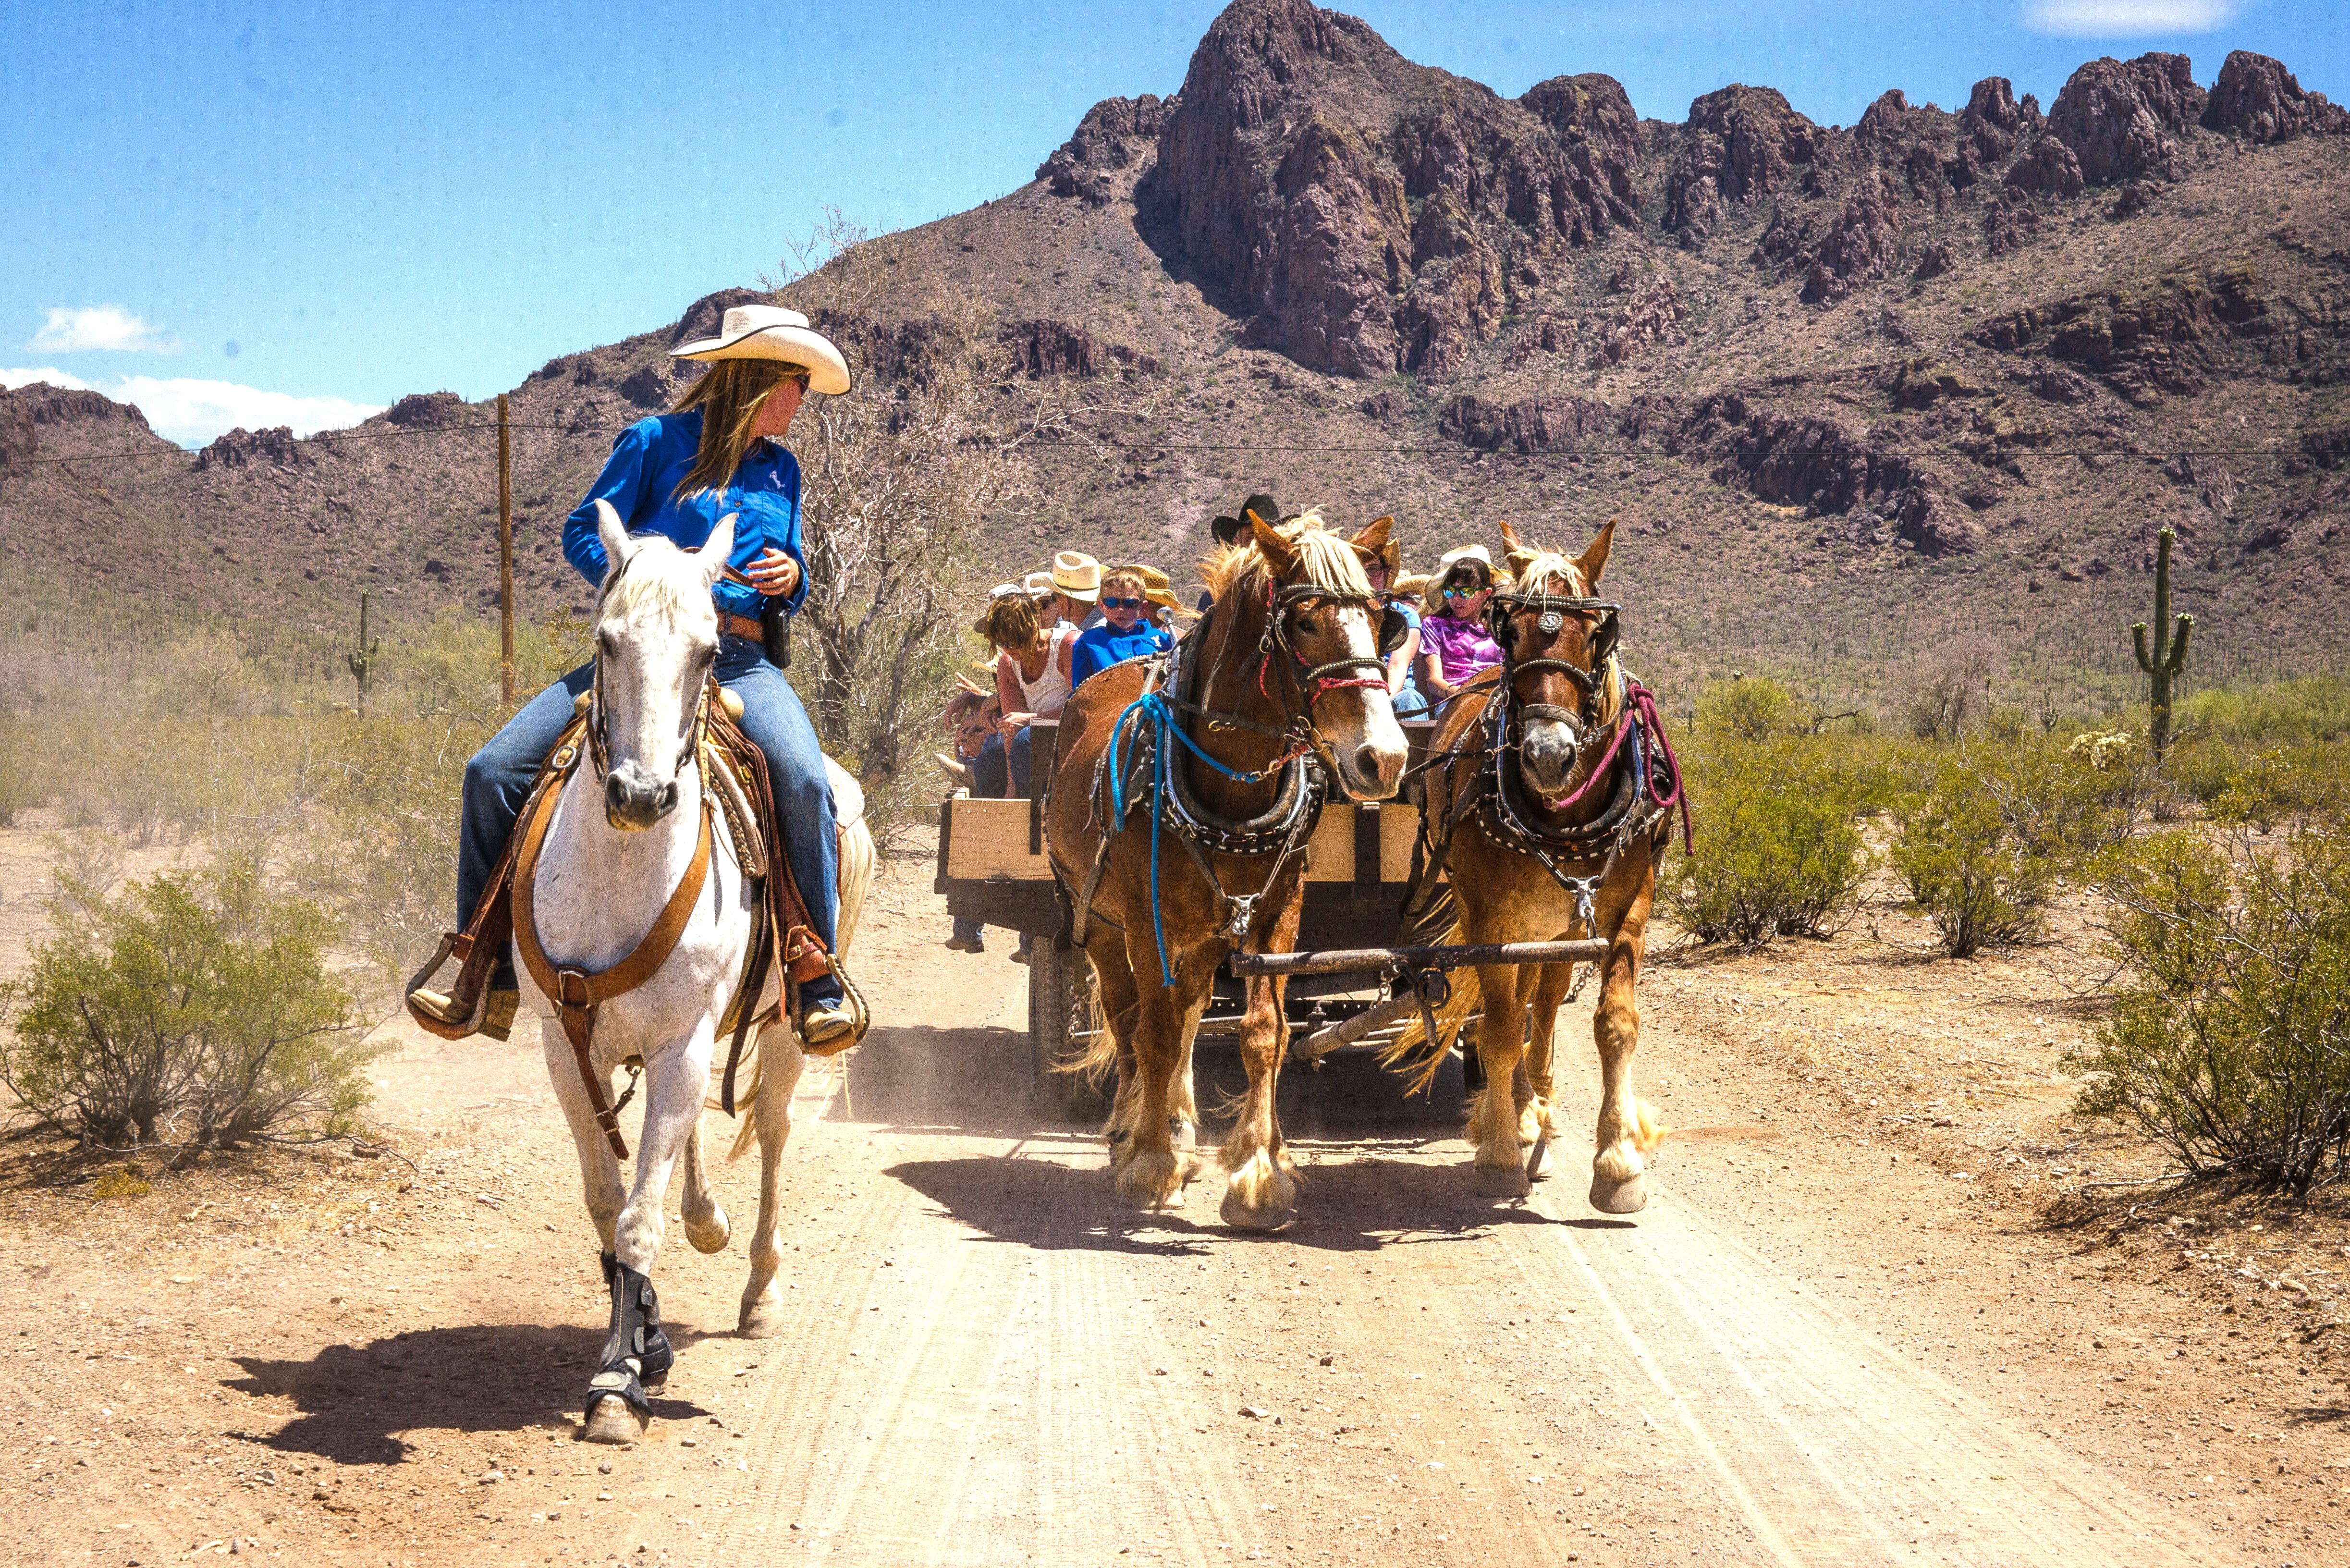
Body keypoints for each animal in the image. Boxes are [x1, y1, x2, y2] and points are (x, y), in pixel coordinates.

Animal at [516, 499, 876, 1443]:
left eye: (711, 652)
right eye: (606, 641)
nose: (642, 796)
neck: (621, 873)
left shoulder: (681, 1041)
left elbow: (639, 1220)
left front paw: (616, 1384)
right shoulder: (566, 1044)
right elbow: (609, 1202)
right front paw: (642, 1341)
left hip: (783, 1029)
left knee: (775, 1132)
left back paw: (759, 1289)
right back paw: (706, 1222)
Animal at [1046, 512, 1410, 1228]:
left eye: (1379, 619)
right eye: (1304, 622)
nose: (1382, 758)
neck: (1230, 791)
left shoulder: (1276, 918)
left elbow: (1263, 1034)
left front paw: (1258, 1170)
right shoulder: (1146, 922)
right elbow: (1154, 1033)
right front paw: (1149, 1160)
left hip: (1210, 930)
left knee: (1188, 1009)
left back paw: (1182, 1124)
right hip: (1097, 917)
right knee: (1129, 1019)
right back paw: (1129, 1127)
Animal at [1396, 518, 1688, 1210]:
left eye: (1595, 634)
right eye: (1512, 631)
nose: (1547, 756)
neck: (1562, 814)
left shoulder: (1628, 913)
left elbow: (1614, 1026)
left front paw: (1617, 1165)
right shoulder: (1488, 924)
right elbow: (1499, 1031)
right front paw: (1501, 1152)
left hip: (1556, 929)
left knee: (1546, 1010)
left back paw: (1537, 1114)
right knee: (1516, 1013)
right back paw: (1523, 1121)